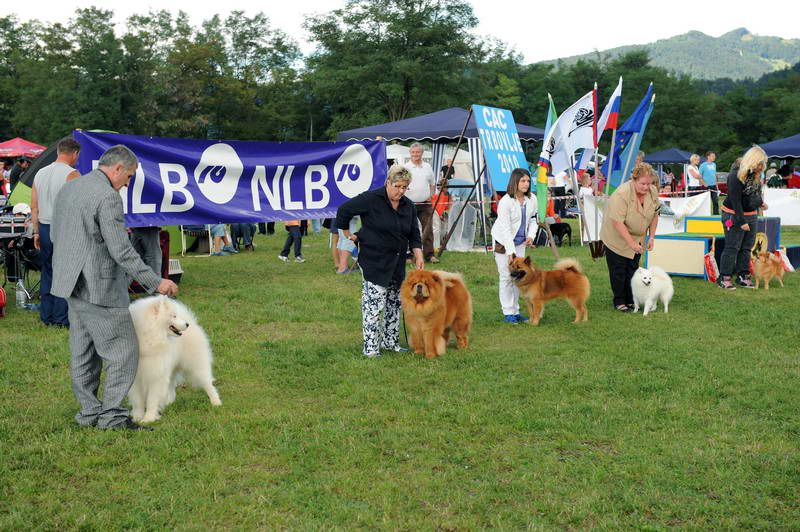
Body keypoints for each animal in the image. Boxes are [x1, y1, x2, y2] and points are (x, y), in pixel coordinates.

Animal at [128, 296, 222, 424]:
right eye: (173, 316)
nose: (187, 324)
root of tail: (192, 321)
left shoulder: (157, 376)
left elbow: (152, 400)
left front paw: (148, 418)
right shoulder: (136, 378)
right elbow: (138, 401)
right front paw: (137, 417)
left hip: (196, 365)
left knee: (207, 383)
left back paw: (216, 402)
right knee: (172, 383)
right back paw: (169, 401)